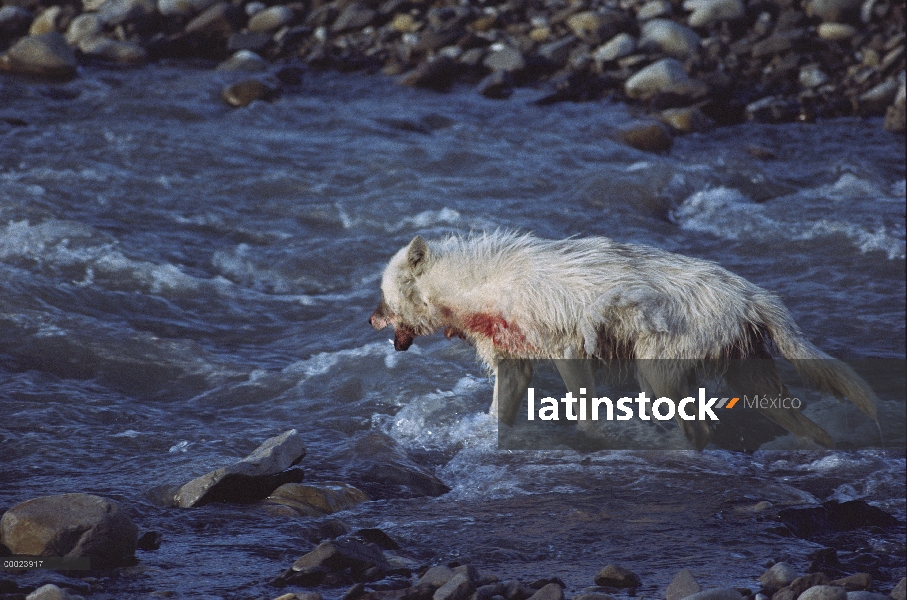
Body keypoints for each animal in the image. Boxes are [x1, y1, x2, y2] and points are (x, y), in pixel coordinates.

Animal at [368, 232, 880, 448]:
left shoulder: (569, 353)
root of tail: (754, 294)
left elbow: (586, 415)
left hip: (657, 374)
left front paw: (598, 440)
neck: (480, 284)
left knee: (698, 431)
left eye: (383, 295)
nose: (369, 318)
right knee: (809, 428)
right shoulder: (516, 365)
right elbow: (499, 414)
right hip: (750, 383)